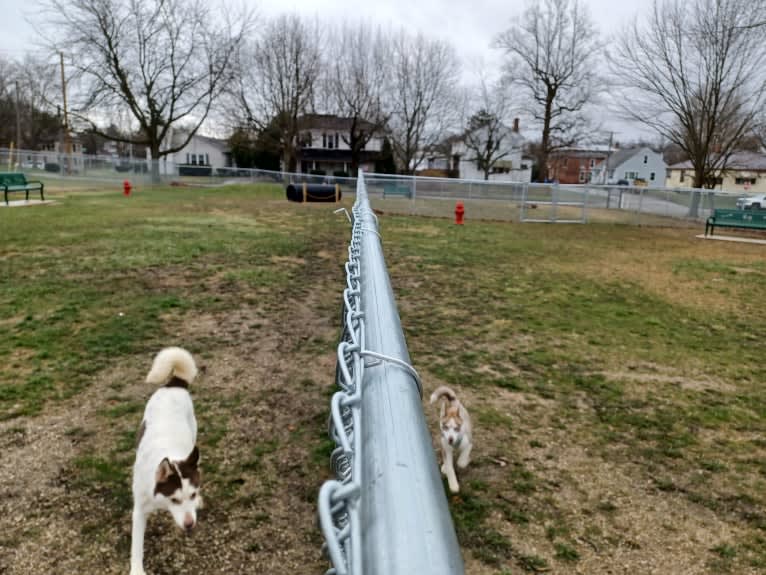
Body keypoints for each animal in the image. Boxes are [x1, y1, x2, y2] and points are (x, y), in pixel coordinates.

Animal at [132, 346, 204, 575]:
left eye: (192, 494)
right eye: (174, 500)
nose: (190, 525)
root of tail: (174, 383)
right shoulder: (139, 510)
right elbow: (136, 547)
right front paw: (136, 570)